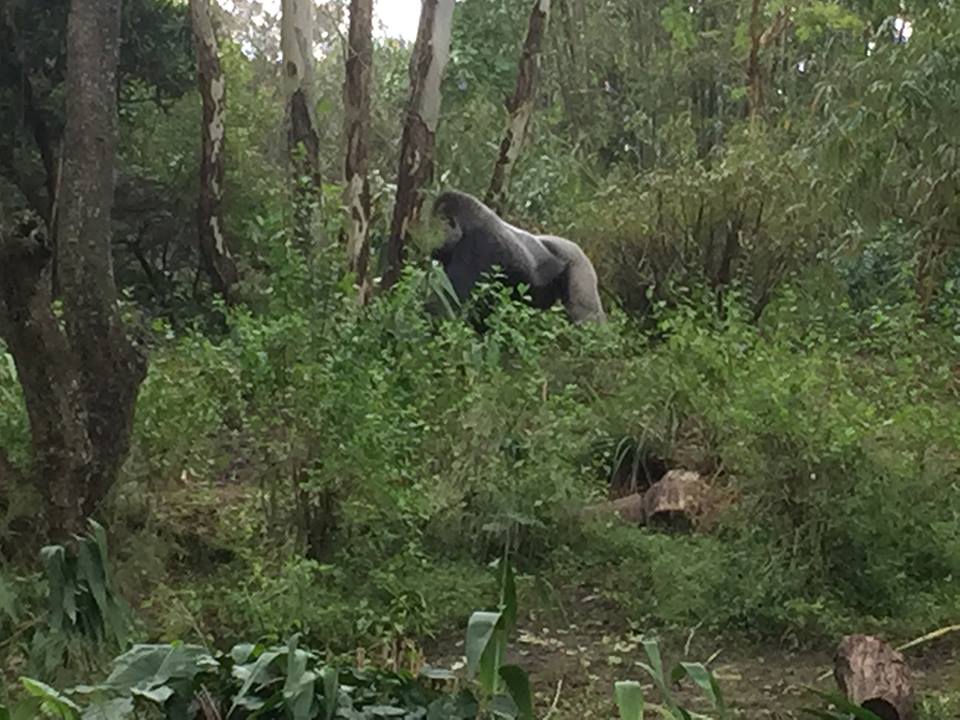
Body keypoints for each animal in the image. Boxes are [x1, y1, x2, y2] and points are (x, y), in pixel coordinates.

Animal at [429, 190, 606, 324]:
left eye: (433, 229)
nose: (430, 246)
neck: (465, 226)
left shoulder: (476, 245)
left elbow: (452, 304)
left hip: (580, 269)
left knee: (585, 315)